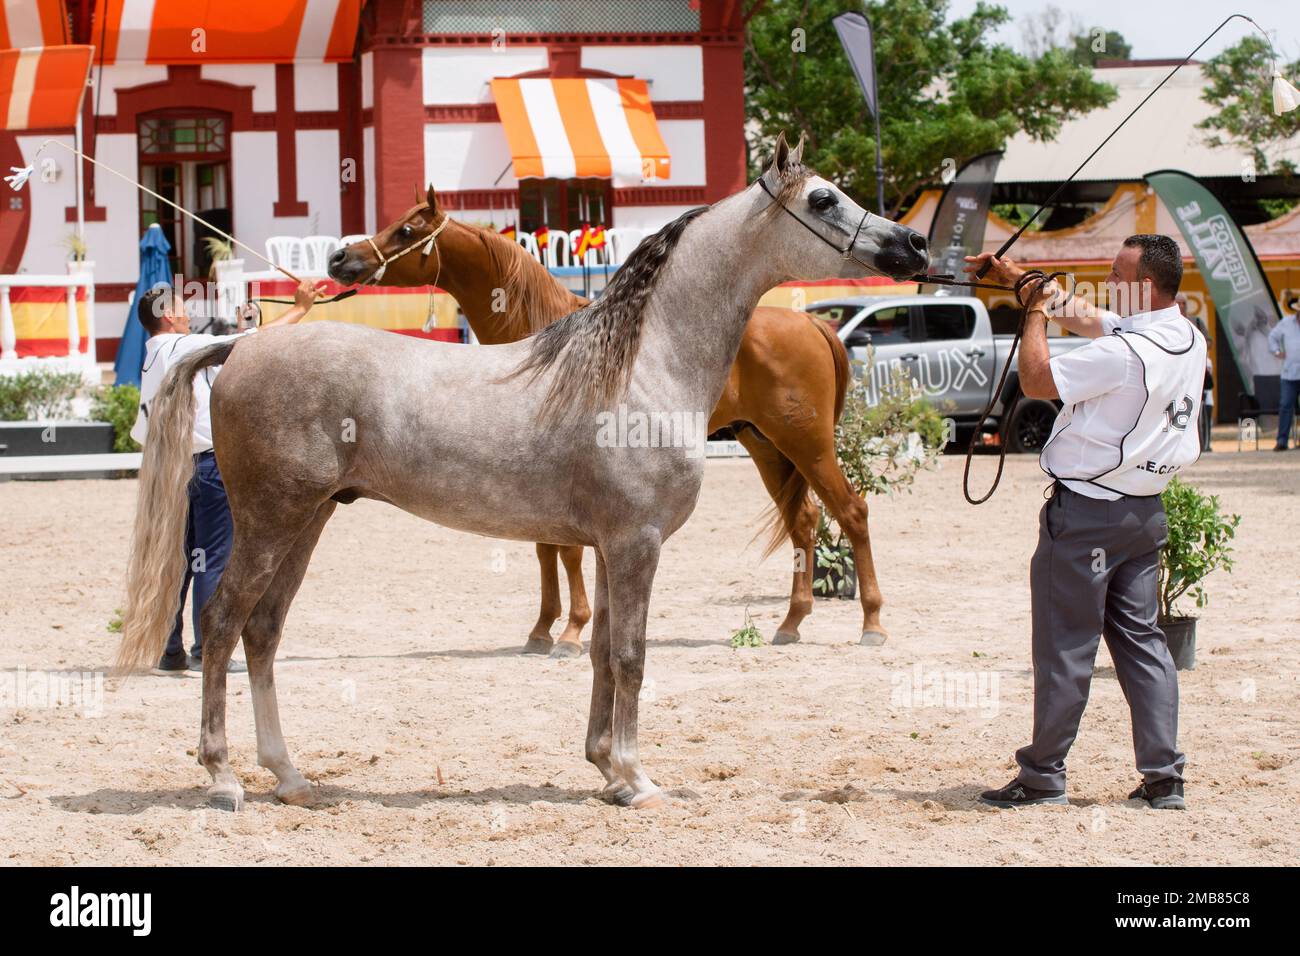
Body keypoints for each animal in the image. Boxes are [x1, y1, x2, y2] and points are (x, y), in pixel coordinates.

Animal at [330, 184, 894, 650]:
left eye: (406, 230)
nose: (339, 257)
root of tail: (812, 324)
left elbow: (567, 551)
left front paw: (571, 631)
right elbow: (545, 548)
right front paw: (542, 628)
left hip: (806, 444)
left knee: (853, 512)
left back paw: (872, 623)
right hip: (766, 445)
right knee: (805, 520)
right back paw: (791, 623)